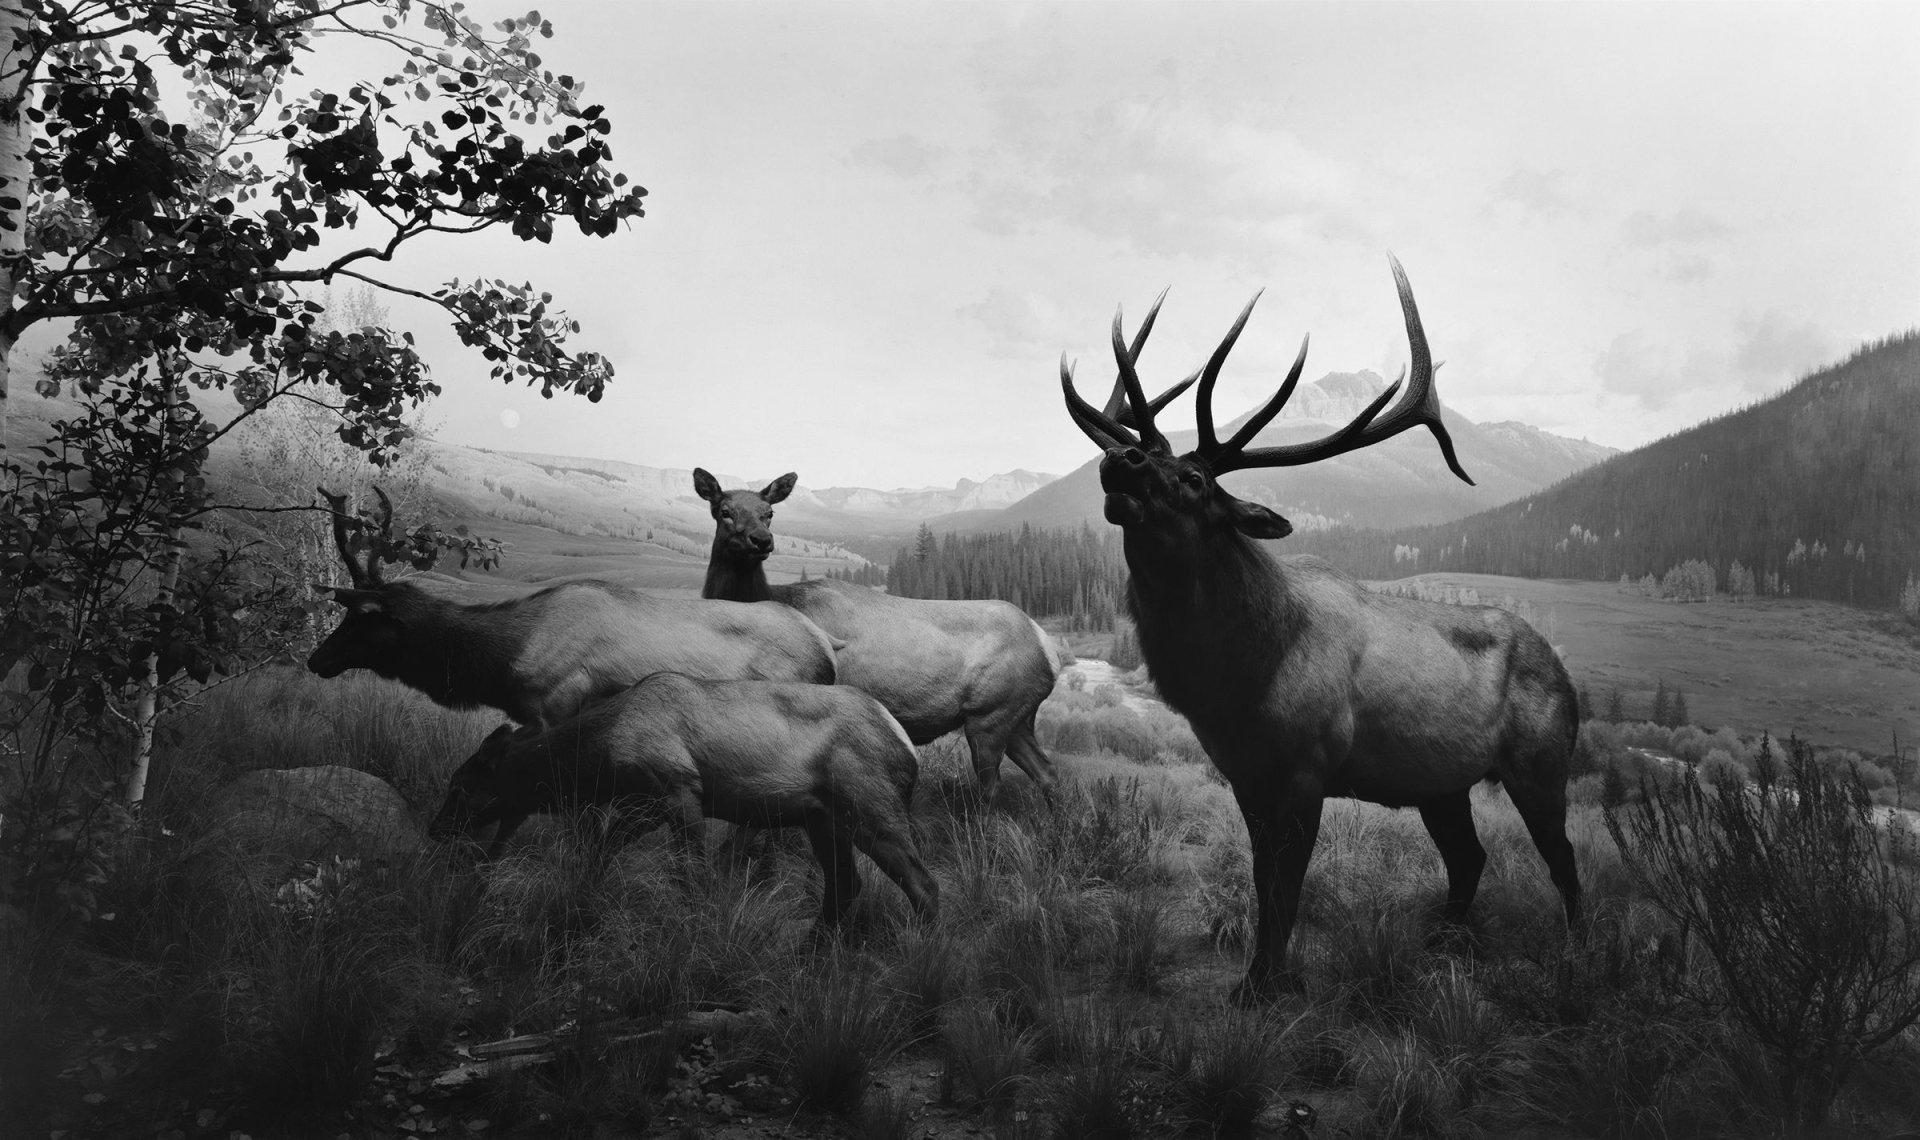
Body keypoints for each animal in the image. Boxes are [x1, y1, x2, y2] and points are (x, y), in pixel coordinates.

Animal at [426, 672, 939, 931]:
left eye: (459, 789)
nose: (434, 830)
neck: (598, 762)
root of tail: (908, 746)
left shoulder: (679, 788)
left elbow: (691, 874)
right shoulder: (643, 805)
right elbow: (602, 849)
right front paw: (584, 894)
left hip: (869, 806)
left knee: (923, 883)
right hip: (822, 818)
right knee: (845, 884)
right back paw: (810, 947)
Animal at [693, 468, 1061, 802]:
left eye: (769, 512)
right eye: (724, 510)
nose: (762, 540)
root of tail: (1049, 649)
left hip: (990, 715)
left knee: (992, 788)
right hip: (1017, 717)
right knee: (1047, 772)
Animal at [1058, 257, 1581, 1002]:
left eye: (1194, 478)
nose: (1123, 459)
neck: (1236, 681)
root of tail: (1566, 674)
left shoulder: (1309, 769)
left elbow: (1287, 890)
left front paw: (1269, 985)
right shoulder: (1246, 775)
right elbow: (1260, 884)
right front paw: (1255, 978)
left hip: (1541, 762)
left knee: (1563, 862)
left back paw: (1578, 955)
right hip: (1440, 783)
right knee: (1469, 856)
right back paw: (1442, 942)